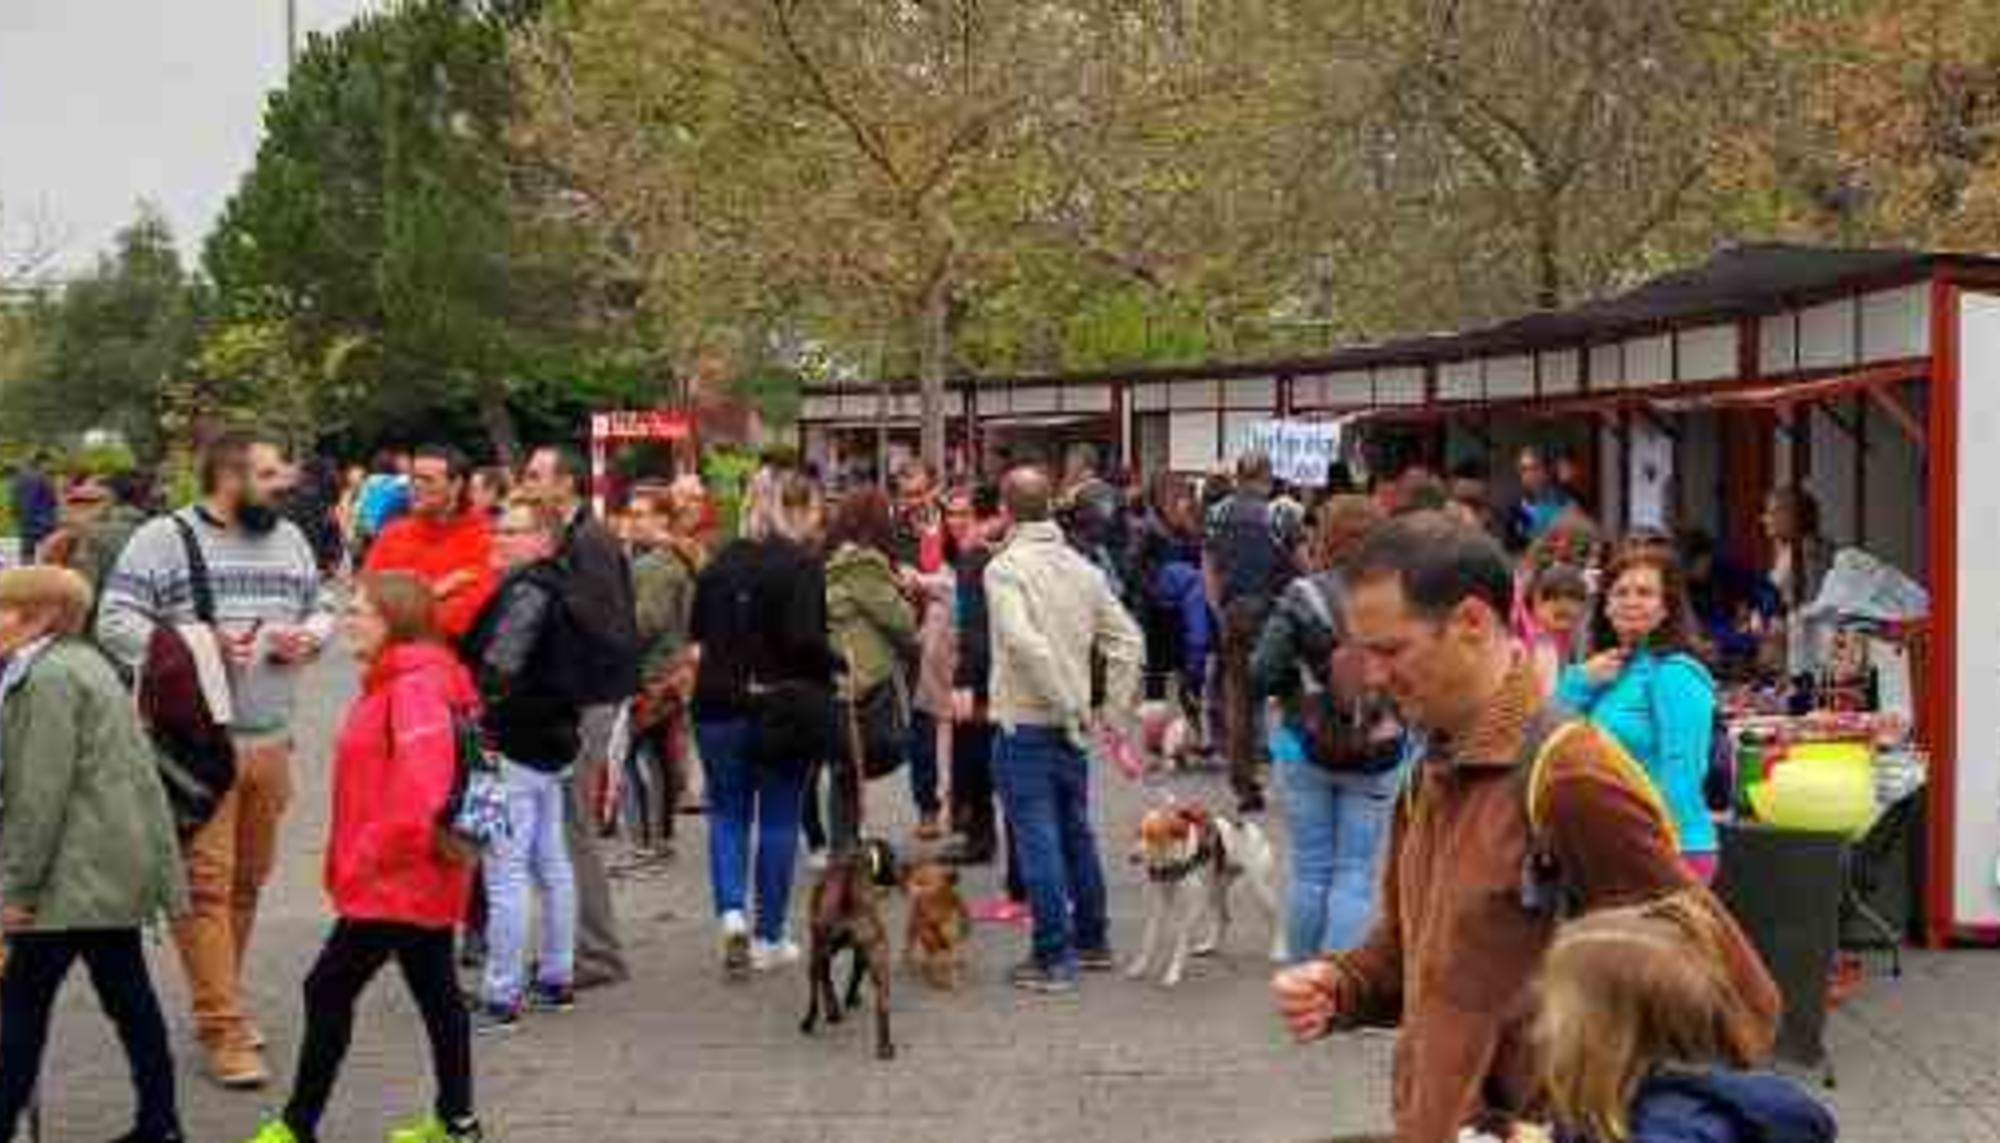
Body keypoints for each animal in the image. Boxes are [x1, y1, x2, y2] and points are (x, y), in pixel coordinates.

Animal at [800, 839, 896, 1063]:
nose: (897, 879)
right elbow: (849, 976)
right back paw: (885, 1046)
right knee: (883, 1004)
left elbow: (830, 982)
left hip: (818, 951)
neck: (856, 859)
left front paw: (838, 1008)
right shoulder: (860, 953)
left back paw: (812, 1021)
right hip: (878, 957)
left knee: (816, 991)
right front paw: (846, 1002)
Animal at [1128, 803, 1280, 983]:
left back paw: (1279, 950)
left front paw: (1173, 973)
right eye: (1138, 833)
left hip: (1260, 889)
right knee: (1224, 918)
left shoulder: (1195, 903)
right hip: (1215, 891)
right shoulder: (1159, 901)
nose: (1132, 857)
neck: (1171, 859)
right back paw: (1209, 947)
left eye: (1152, 835)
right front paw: (1140, 968)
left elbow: (1181, 940)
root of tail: (1246, 824)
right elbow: (1148, 939)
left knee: (1276, 917)